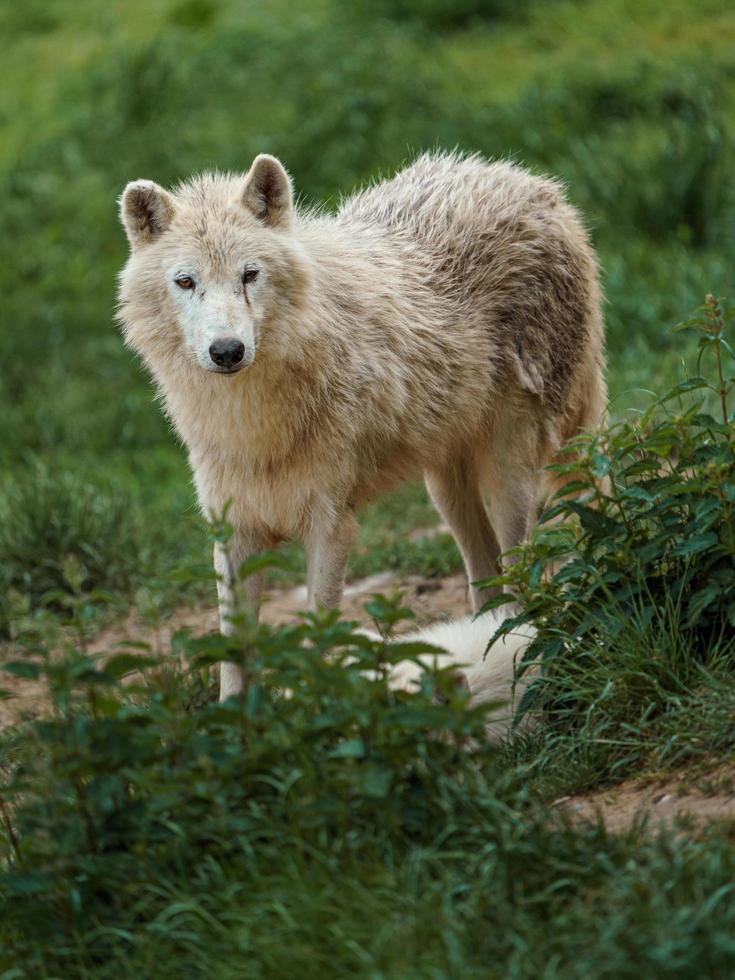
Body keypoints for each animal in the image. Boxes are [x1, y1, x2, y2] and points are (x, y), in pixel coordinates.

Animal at [118, 149, 608, 700]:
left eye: (250, 274)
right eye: (186, 282)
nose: (227, 351)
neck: (252, 423)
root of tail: (531, 184)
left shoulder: (332, 527)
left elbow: (318, 640)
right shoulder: (234, 531)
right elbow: (233, 662)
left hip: (511, 478)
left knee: (522, 579)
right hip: (446, 490)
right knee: (488, 588)